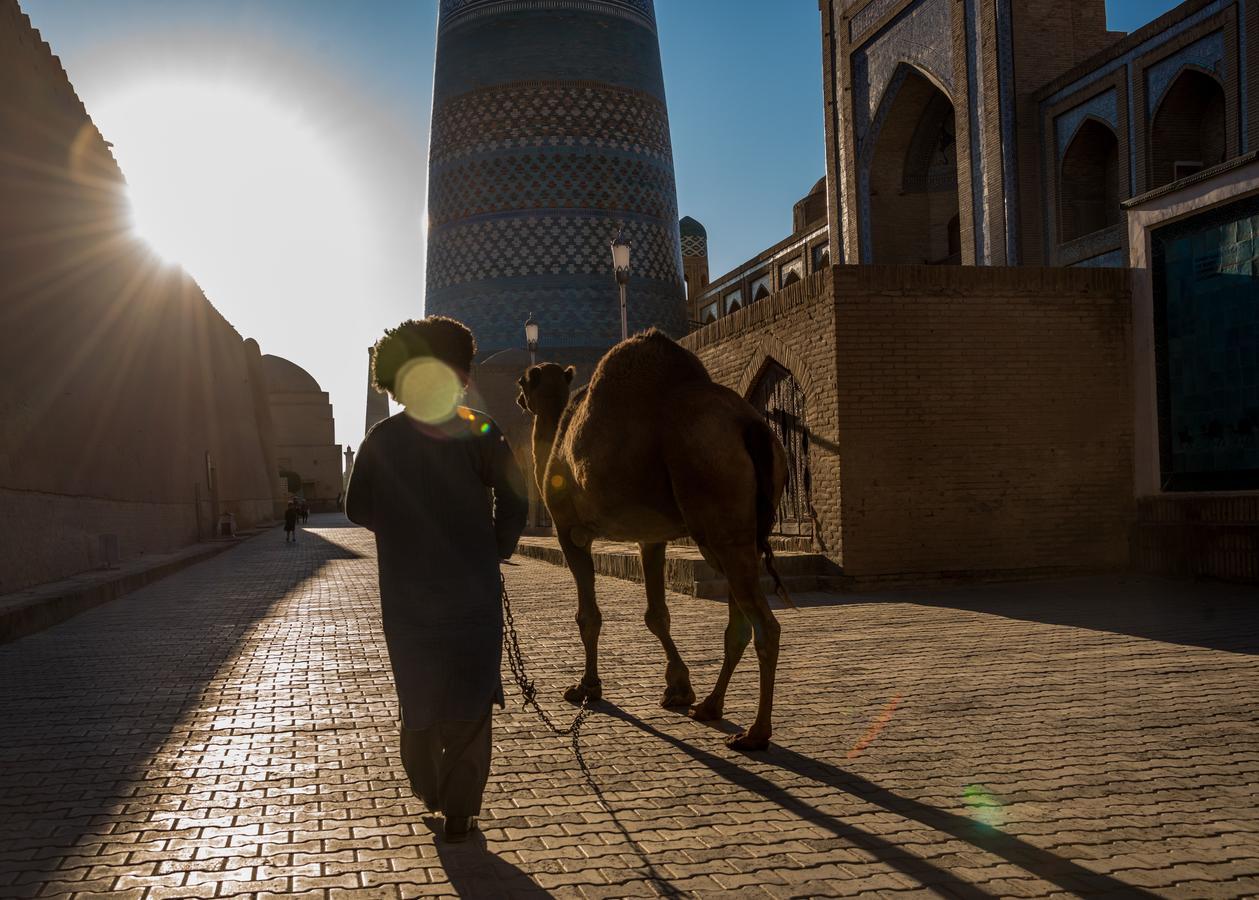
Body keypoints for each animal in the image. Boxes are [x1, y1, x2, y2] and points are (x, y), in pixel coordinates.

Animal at [513, 327, 790, 750]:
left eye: (523, 382)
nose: (518, 399)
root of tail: (752, 427)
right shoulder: (651, 537)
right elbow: (657, 615)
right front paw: (678, 689)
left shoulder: (569, 529)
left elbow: (588, 615)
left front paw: (586, 687)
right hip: (737, 529)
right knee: (739, 622)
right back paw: (710, 707)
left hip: (713, 493)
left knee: (765, 625)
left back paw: (755, 733)